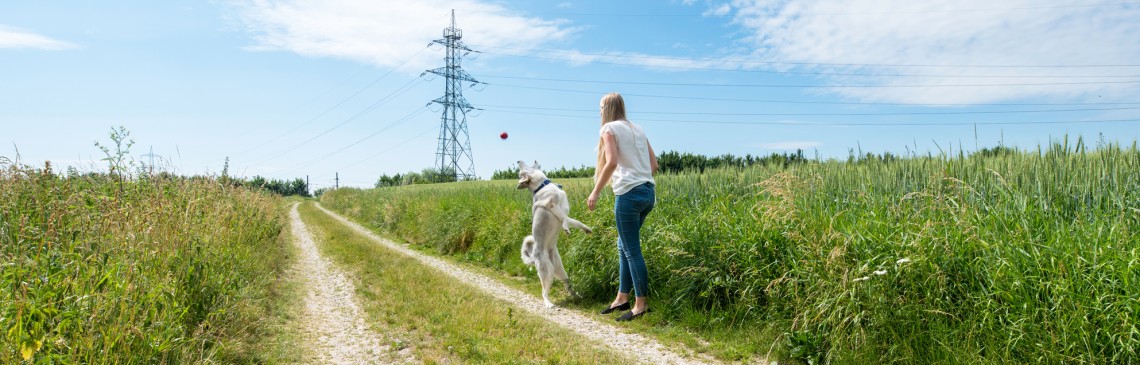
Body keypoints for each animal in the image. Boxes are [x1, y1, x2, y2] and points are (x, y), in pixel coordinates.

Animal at [515, 160, 592, 305]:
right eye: (520, 173)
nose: (518, 161)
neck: (542, 186)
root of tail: (534, 257)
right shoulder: (552, 206)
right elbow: (564, 219)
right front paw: (566, 229)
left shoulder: (565, 212)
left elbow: (575, 222)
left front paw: (586, 229)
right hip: (547, 273)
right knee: (543, 292)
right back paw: (549, 304)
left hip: (561, 271)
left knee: (567, 285)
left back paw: (576, 296)